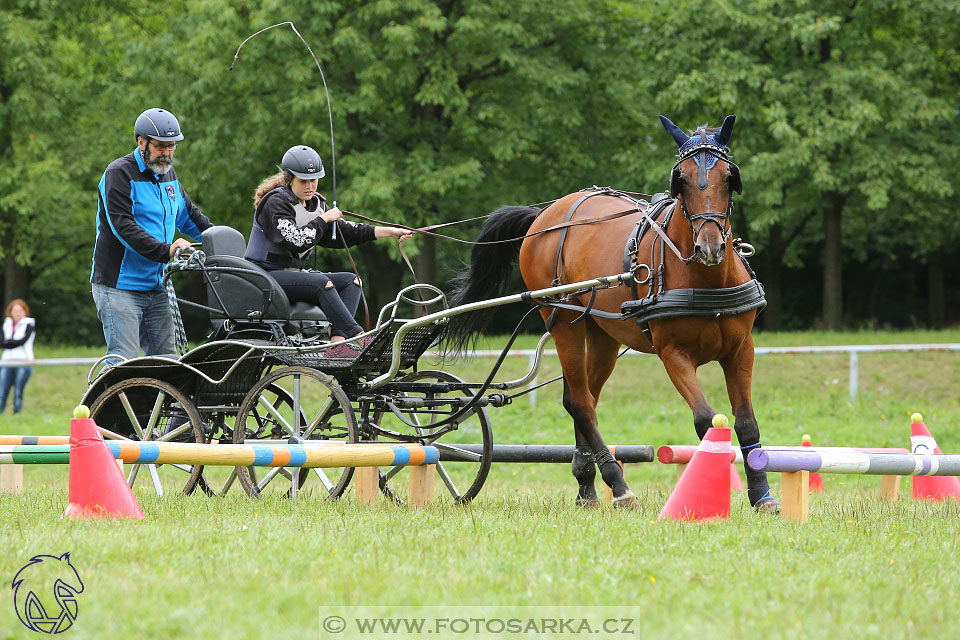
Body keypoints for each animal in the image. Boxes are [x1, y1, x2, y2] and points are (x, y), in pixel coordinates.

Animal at [444, 115, 780, 512]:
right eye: (680, 179)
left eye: (729, 177)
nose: (709, 247)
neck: (706, 279)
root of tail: (545, 214)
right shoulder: (673, 354)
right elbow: (706, 420)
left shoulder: (741, 349)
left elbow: (746, 422)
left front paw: (762, 496)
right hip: (562, 321)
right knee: (580, 401)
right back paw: (617, 484)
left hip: (601, 332)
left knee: (583, 396)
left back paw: (586, 484)